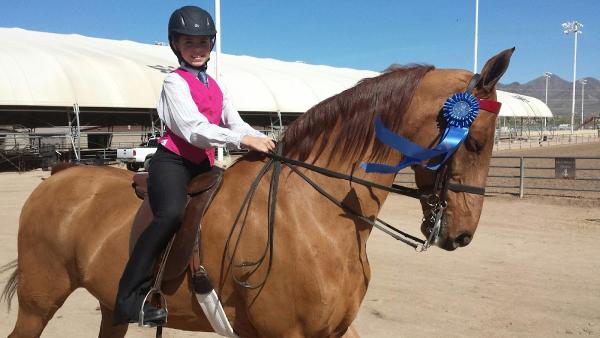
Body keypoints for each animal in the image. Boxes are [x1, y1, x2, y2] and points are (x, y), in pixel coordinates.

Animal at [2, 48, 512, 336]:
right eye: (475, 141)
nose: (462, 234)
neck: (315, 215)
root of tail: (59, 176)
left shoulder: (334, 330)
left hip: (110, 308)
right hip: (39, 303)